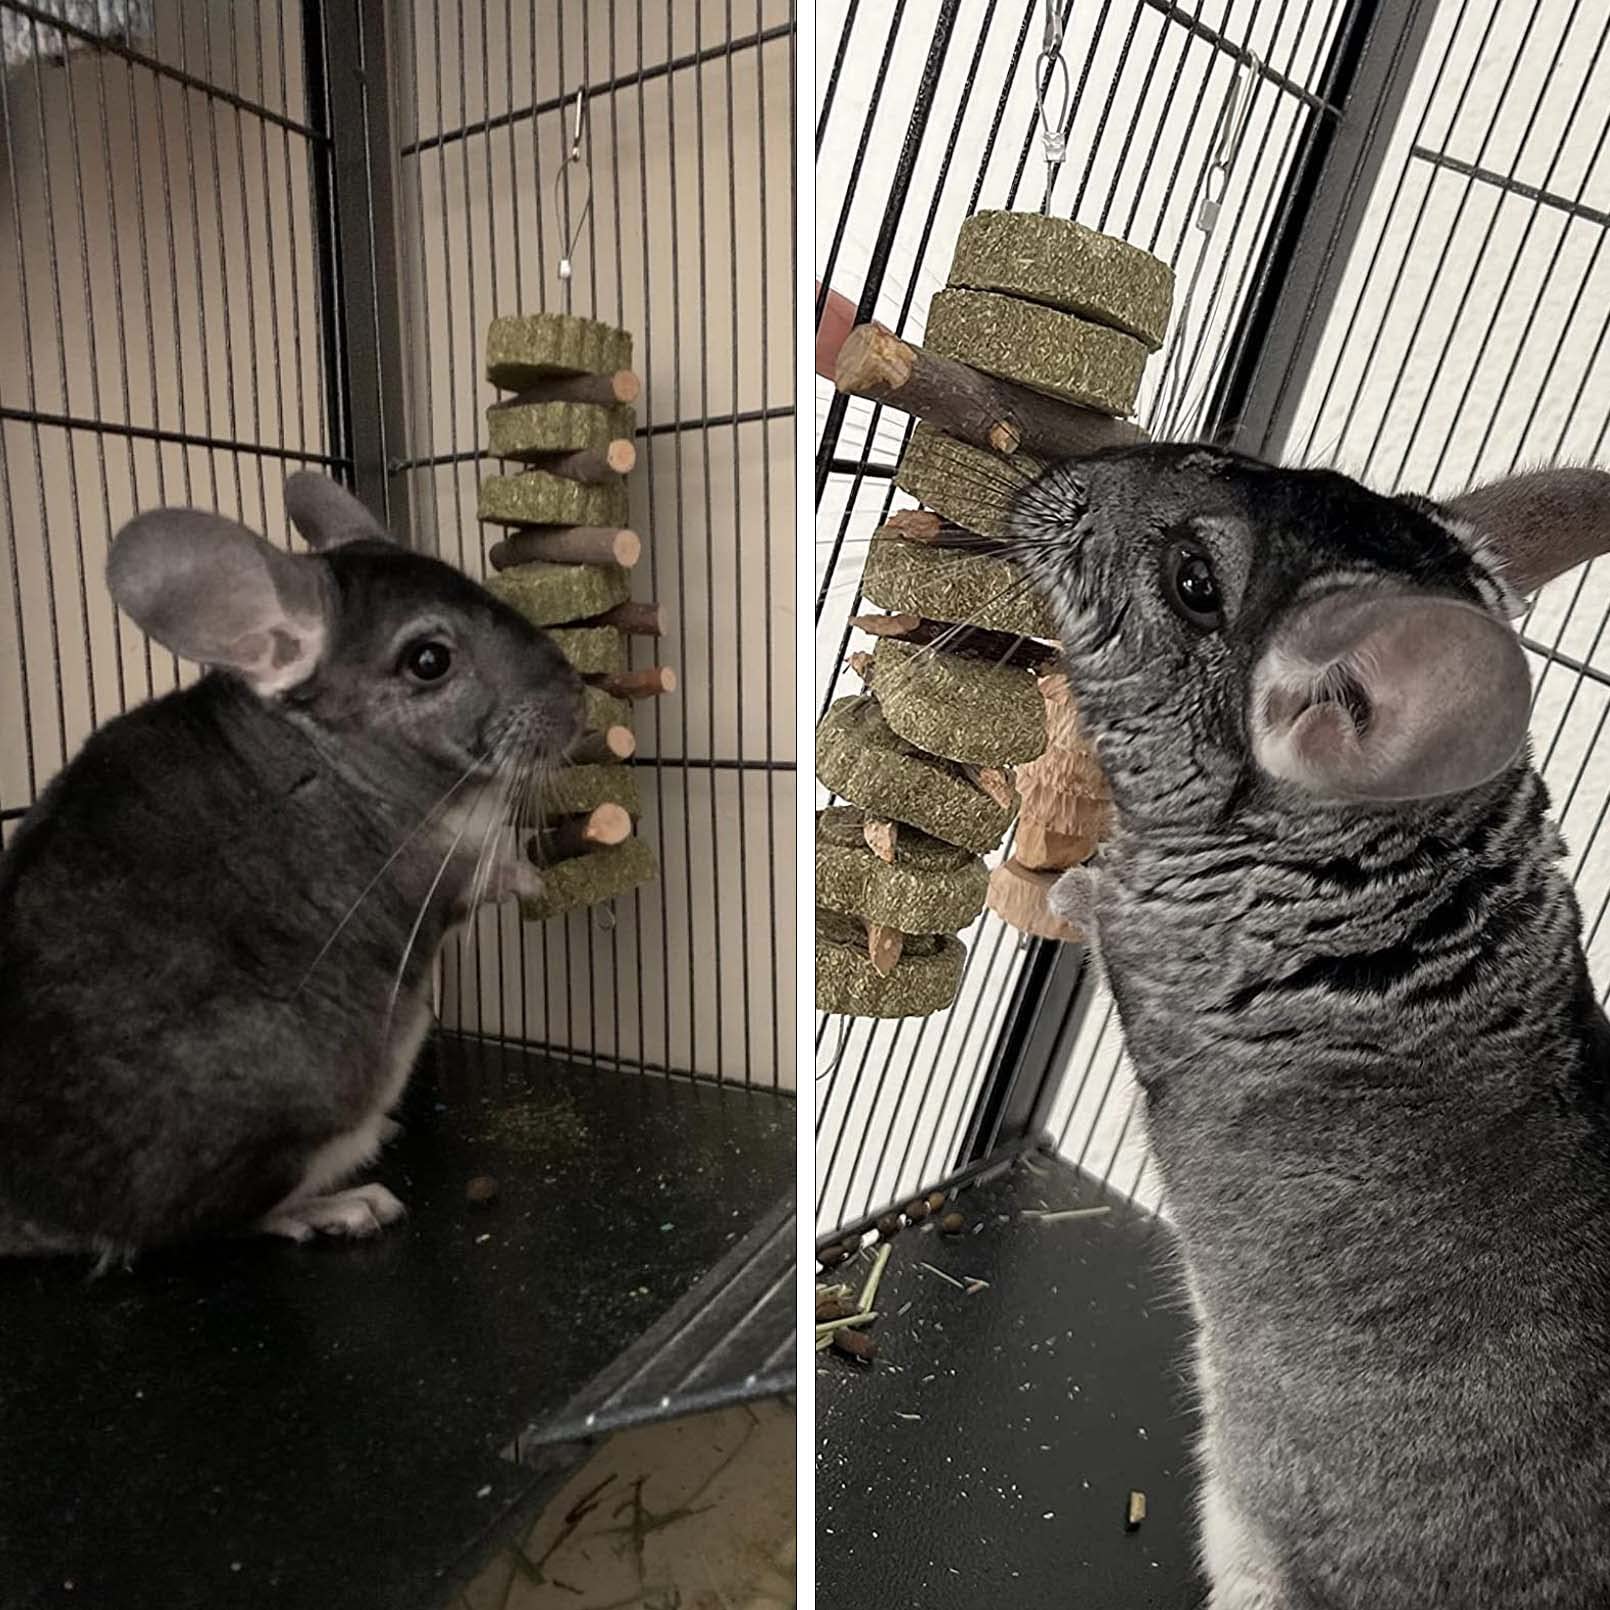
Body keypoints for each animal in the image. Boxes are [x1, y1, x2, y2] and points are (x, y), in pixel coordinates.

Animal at [0, 472, 583, 1262]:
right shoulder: (432, 867)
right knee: (204, 1224)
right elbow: (488, 873)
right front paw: (534, 875)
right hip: (294, 1096)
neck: (337, 756)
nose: (579, 698)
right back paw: (346, 1204)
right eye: (429, 660)